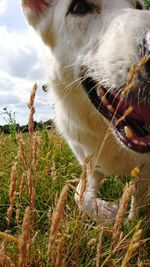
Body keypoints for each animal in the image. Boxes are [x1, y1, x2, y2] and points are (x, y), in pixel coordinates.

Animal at [22, 0, 150, 225]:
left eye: (139, 6)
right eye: (79, 7)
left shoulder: (144, 172)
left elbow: (137, 204)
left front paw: (130, 224)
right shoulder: (90, 166)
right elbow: (80, 197)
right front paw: (107, 213)